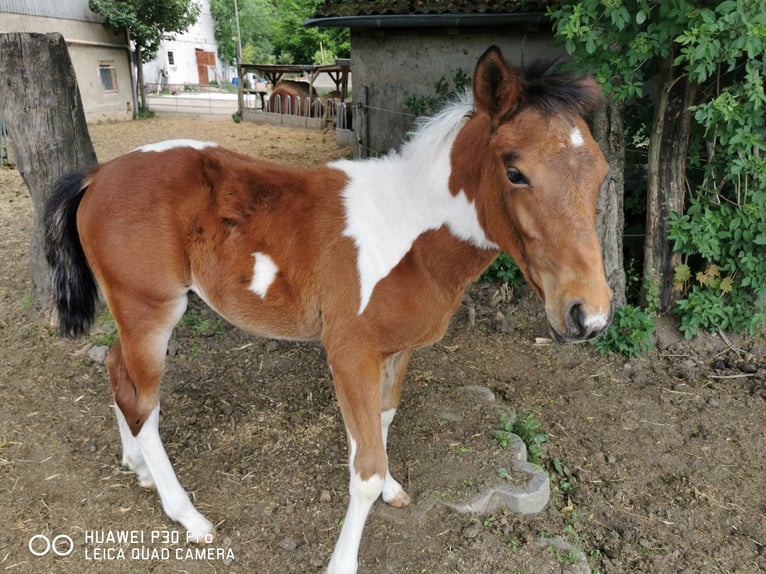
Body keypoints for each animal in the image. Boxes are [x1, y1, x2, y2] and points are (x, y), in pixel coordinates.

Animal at [44, 46, 612, 574]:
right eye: (515, 171)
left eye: (602, 173)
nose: (589, 315)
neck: (411, 233)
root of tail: (99, 174)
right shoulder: (349, 353)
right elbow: (365, 470)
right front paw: (343, 560)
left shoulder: (396, 350)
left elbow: (382, 423)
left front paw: (394, 488)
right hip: (151, 312)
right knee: (143, 405)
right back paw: (188, 516)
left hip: (135, 314)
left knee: (117, 373)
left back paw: (137, 466)